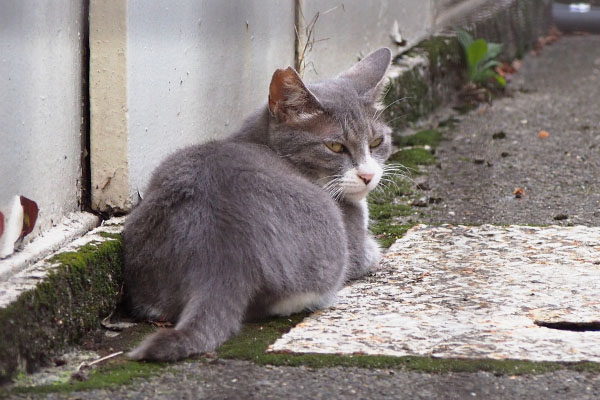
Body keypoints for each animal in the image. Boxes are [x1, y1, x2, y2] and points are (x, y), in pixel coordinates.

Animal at [122, 47, 394, 362]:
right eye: (335, 147)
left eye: (377, 142)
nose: (368, 175)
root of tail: (222, 260)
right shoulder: (356, 245)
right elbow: (371, 252)